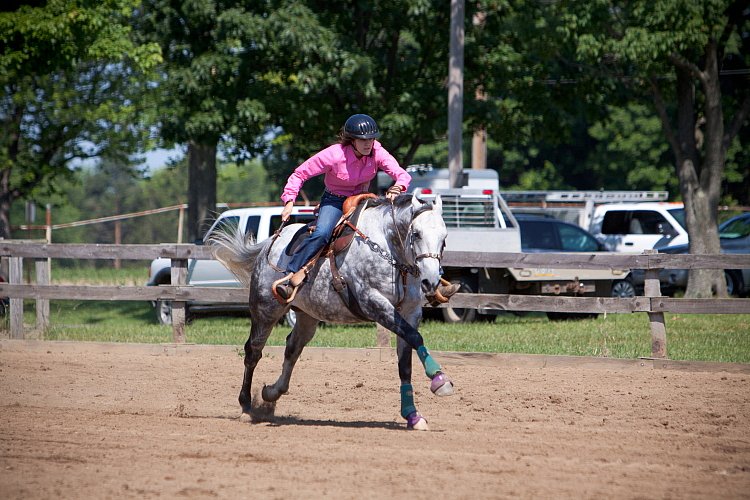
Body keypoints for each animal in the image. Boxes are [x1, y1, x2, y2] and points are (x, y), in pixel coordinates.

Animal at [212, 193, 456, 432]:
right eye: (416, 234)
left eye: (444, 238)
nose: (431, 281)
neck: (389, 251)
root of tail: (269, 243)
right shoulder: (374, 303)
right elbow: (415, 337)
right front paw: (439, 379)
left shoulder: (410, 312)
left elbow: (406, 361)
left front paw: (413, 415)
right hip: (265, 309)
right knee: (253, 351)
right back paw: (246, 405)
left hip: (307, 316)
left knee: (293, 348)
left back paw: (271, 392)